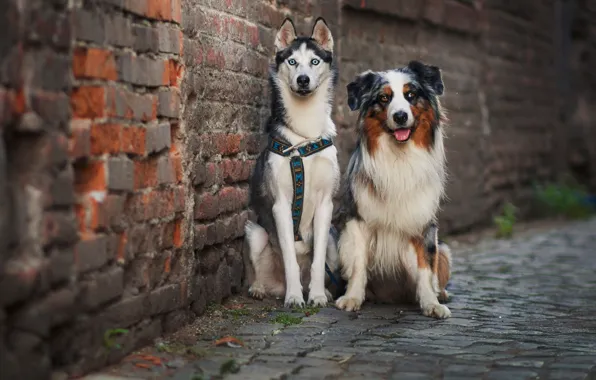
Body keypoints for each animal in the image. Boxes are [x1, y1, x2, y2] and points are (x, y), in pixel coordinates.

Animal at [244, 18, 342, 308]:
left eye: (314, 61)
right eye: (292, 62)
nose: (303, 79)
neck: (304, 136)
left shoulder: (325, 205)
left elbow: (318, 262)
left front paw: (318, 295)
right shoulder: (281, 206)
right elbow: (290, 259)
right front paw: (295, 297)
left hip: (334, 236)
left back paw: (323, 291)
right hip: (255, 232)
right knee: (258, 272)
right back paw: (261, 289)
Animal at [336, 61, 452, 318]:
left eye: (411, 95)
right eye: (384, 97)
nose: (400, 116)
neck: (399, 157)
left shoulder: (423, 225)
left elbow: (425, 267)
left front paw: (431, 303)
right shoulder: (358, 220)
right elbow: (358, 263)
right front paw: (352, 298)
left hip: (444, 250)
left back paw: (441, 294)